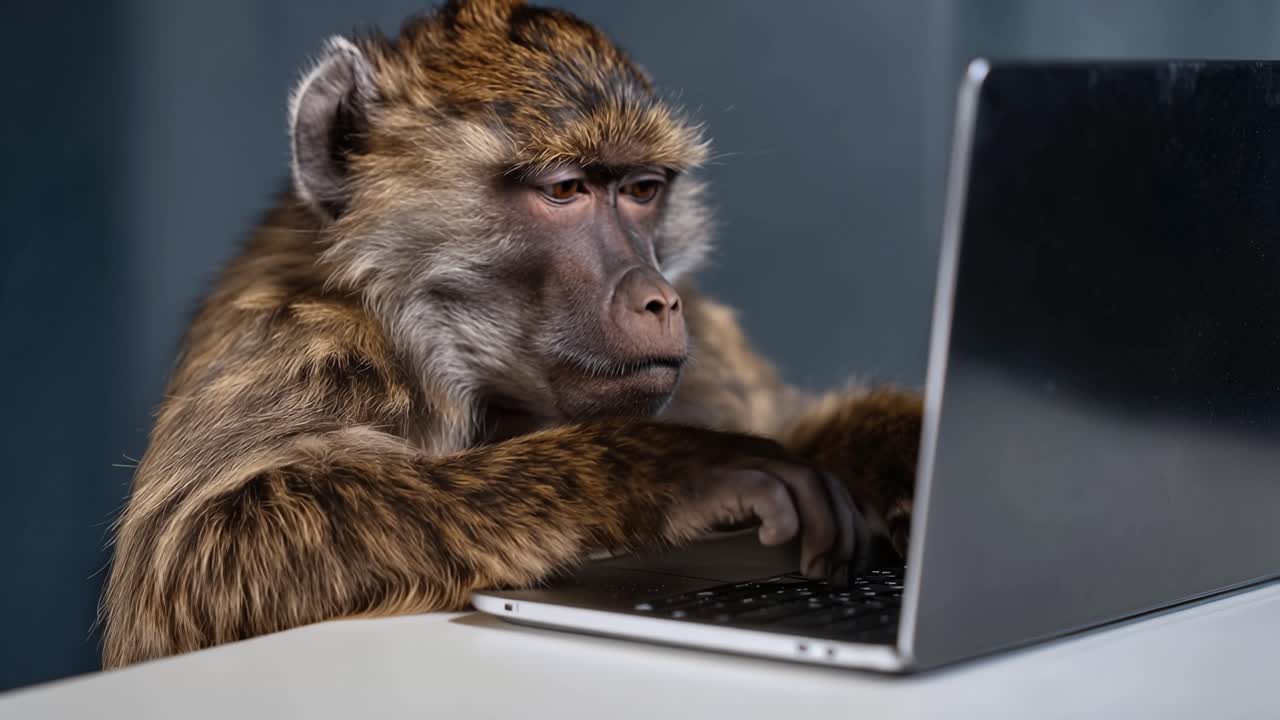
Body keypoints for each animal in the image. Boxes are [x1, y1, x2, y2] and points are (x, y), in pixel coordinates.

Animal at [99, 0, 923, 669]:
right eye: (566, 189)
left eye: (642, 190)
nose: (659, 299)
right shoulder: (300, 343)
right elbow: (191, 550)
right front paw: (673, 467)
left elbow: (798, 423)